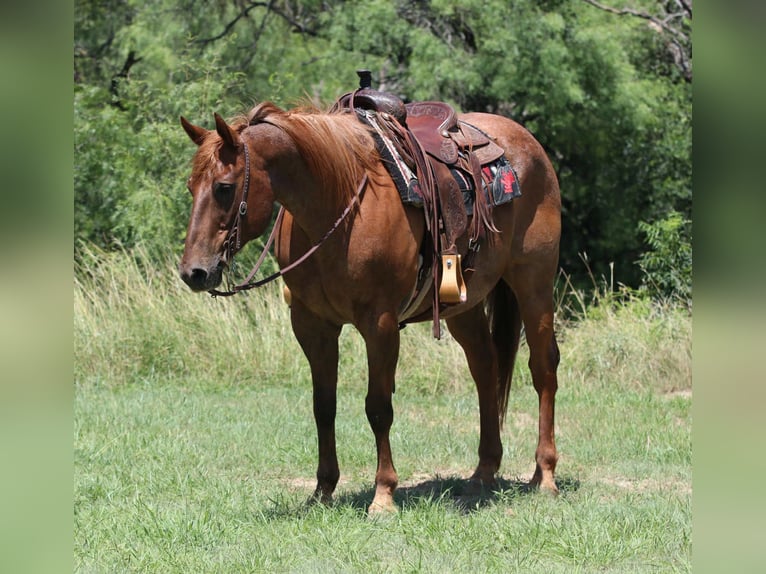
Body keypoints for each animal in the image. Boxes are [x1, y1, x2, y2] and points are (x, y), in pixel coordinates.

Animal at [178, 100, 561, 514]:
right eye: (191, 187)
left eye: (224, 188)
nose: (194, 272)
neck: (336, 208)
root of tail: (528, 144)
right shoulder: (312, 326)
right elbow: (323, 406)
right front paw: (323, 489)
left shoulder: (380, 324)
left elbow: (378, 408)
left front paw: (383, 494)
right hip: (464, 304)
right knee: (485, 369)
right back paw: (484, 472)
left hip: (534, 285)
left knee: (542, 369)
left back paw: (545, 474)